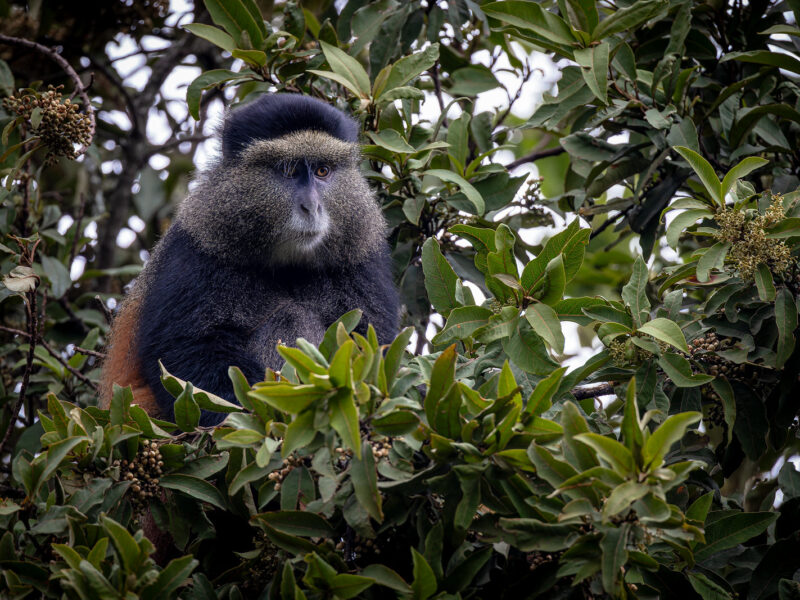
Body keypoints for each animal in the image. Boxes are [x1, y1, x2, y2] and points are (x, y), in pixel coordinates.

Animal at [101, 94, 400, 426]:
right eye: (288, 170)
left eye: (323, 171)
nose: (312, 207)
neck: (287, 264)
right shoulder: (197, 248)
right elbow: (184, 349)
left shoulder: (362, 255)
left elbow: (375, 341)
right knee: (291, 315)